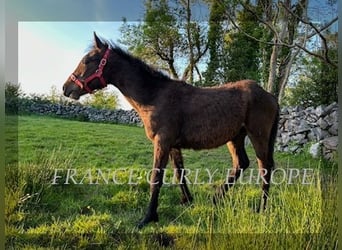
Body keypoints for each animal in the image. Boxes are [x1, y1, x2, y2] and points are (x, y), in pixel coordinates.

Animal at [62, 32, 280, 229]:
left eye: (88, 60)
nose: (66, 88)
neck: (155, 96)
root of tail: (269, 96)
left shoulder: (163, 142)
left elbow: (156, 178)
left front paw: (148, 218)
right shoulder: (174, 145)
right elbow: (179, 173)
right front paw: (187, 200)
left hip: (257, 136)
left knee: (264, 167)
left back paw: (262, 208)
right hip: (235, 138)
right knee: (241, 164)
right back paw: (216, 198)